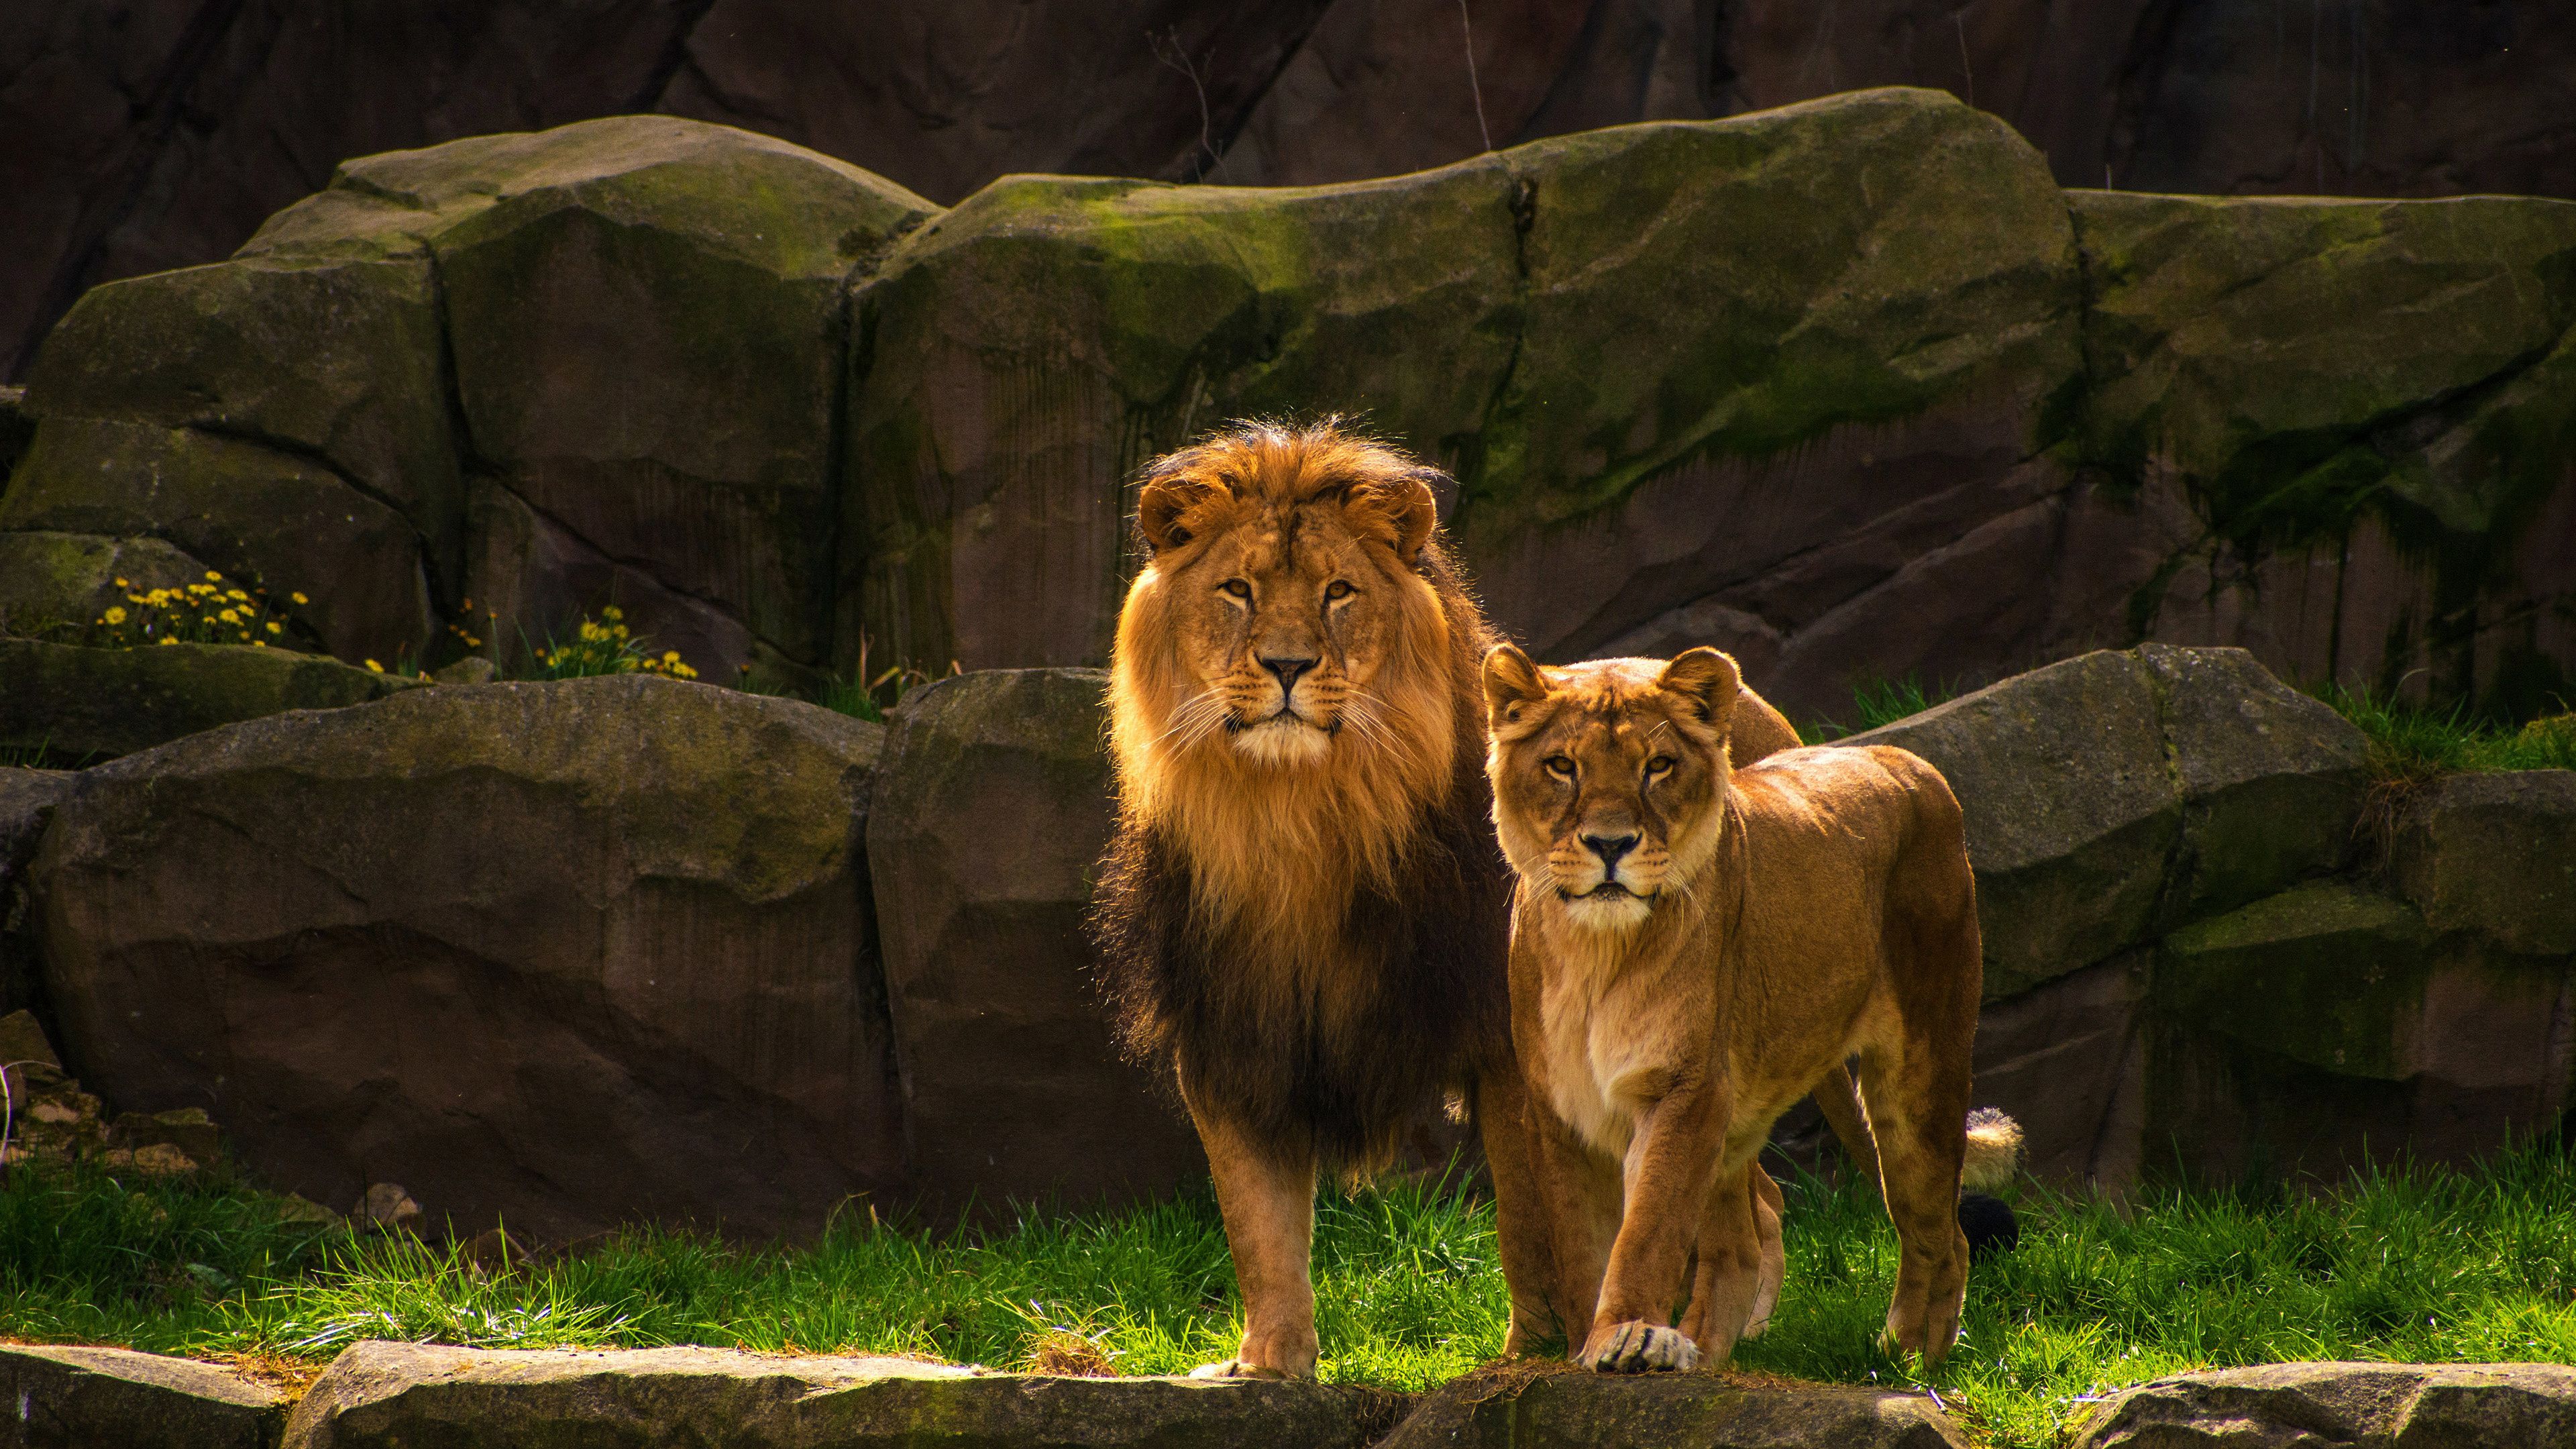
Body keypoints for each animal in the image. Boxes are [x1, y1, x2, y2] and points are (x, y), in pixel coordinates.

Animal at [1088, 420, 1842, 1377]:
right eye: (1238, 590)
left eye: (1338, 592)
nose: (1288, 665)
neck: (1295, 820)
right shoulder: (1229, 1032)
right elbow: (1258, 1223)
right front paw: (1269, 1365)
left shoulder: (1511, 1036)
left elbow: (1532, 1218)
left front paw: (1533, 1354)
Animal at [1482, 643, 1991, 1373]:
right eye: (1562, 766)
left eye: (1657, 766)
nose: (1610, 845)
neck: (1596, 952)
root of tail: (1904, 760)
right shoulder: (1564, 1112)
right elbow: (1583, 1247)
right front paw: (1592, 1345)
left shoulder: (1684, 1090)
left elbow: (1647, 1232)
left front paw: (1627, 1337)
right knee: (1743, 1247)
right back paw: (1710, 1350)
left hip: (1920, 1078)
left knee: (1940, 1234)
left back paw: (1911, 1357)